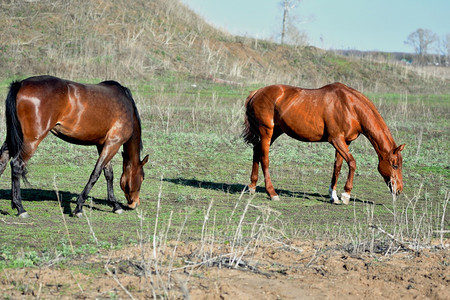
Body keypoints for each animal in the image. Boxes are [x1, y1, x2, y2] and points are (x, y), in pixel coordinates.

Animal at [0, 74, 150, 216]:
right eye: (142, 178)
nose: (135, 204)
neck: (126, 106)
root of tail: (20, 84)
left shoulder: (103, 144)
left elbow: (108, 173)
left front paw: (115, 205)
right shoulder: (114, 143)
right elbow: (95, 173)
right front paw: (79, 207)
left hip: (14, 139)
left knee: (3, 161)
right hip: (31, 140)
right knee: (17, 165)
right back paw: (20, 208)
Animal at [244, 82, 406, 204]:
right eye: (395, 165)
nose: (399, 189)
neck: (350, 106)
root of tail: (257, 92)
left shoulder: (345, 142)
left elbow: (337, 166)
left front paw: (333, 196)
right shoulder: (336, 140)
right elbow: (352, 163)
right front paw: (346, 195)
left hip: (274, 132)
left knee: (256, 153)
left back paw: (252, 186)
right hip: (266, 132)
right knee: (264, 159)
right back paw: (272, 193)